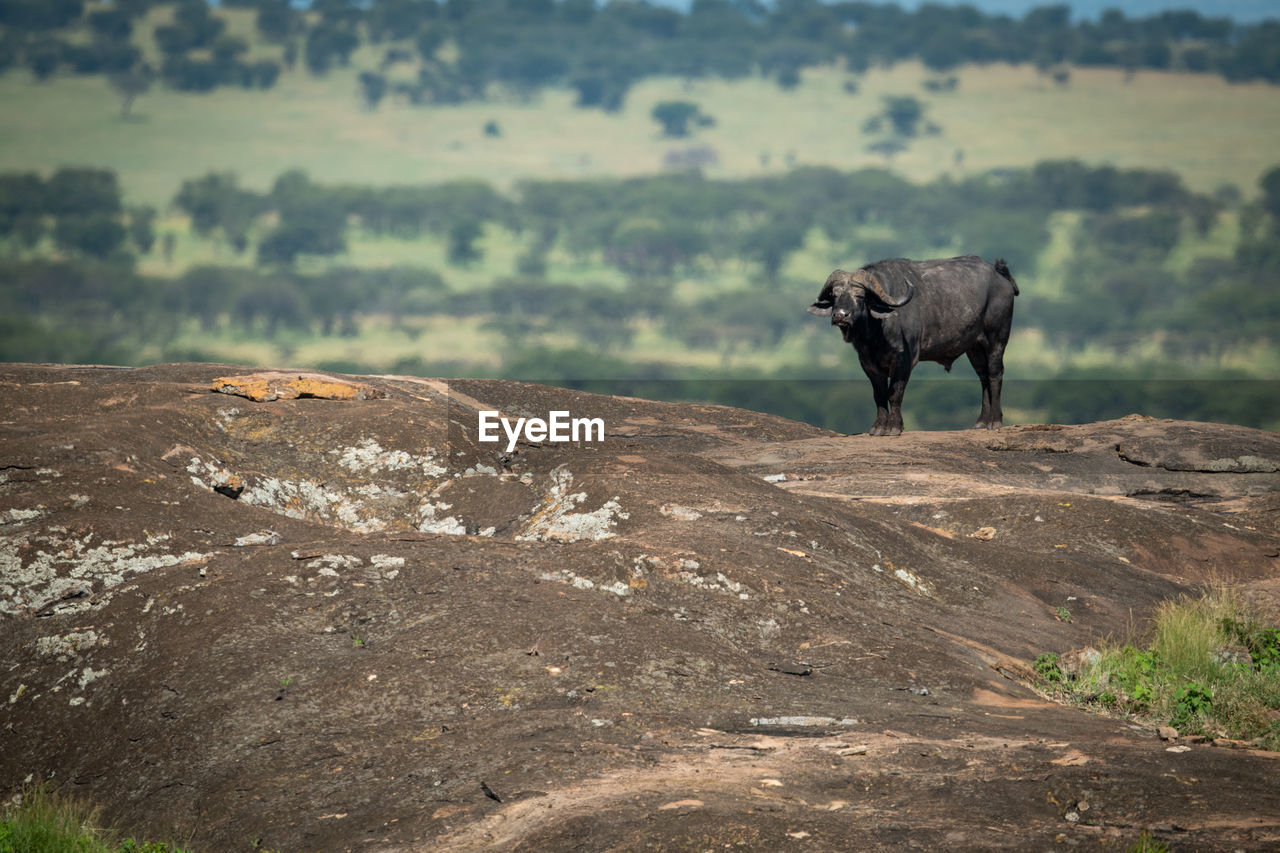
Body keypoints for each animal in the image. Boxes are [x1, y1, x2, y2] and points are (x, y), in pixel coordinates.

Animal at [808, 253, 1018, 435]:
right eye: (835, 295)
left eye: (860, 296)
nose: (840, 315)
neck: (876, 332)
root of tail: (999, 275)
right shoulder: (869, 364)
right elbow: (879, 394)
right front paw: (878, 427)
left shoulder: (904, 361)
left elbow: (895, 393)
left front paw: (894, 427)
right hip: (974, 347)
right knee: (983, 376)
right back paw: (981, 421)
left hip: (997, 339)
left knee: (995, 374)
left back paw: (994, 421)